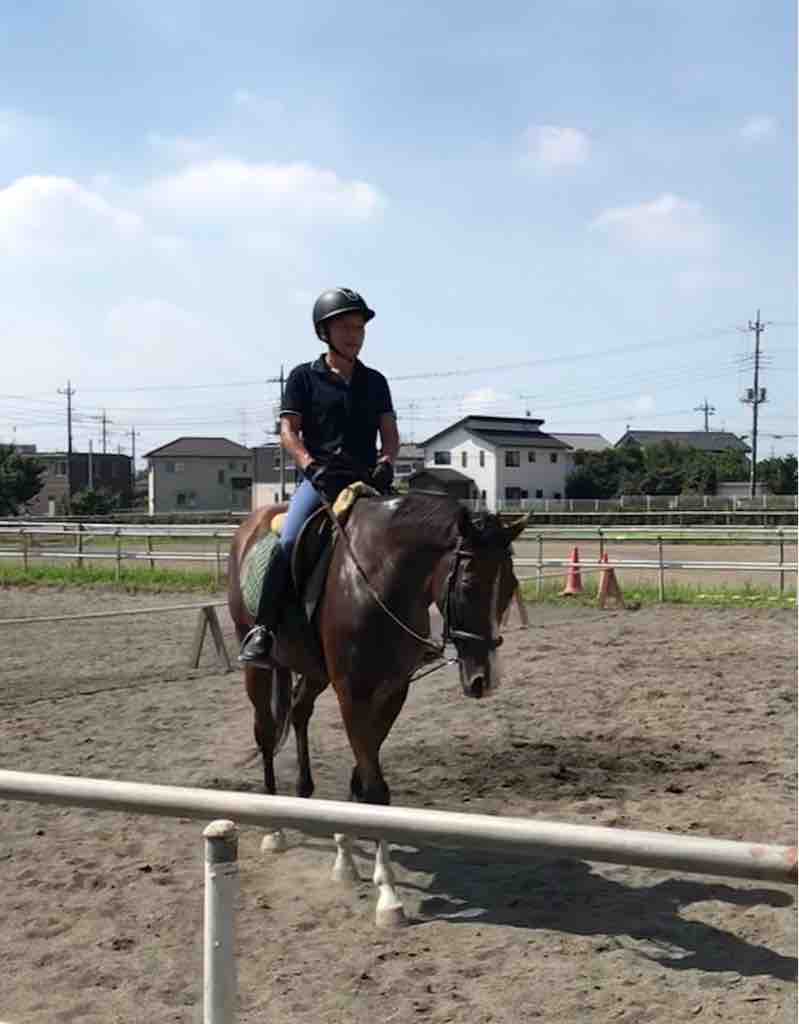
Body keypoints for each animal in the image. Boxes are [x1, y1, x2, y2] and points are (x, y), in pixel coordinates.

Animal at [227, 491, 528, 925]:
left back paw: (304, 795)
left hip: (313, 671)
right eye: (469, 584)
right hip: (259, 664)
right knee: (266, 733)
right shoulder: (353, 694)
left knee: (299, 712)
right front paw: (388, 894)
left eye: (510, 587)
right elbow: (375, 789)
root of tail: (251, 524)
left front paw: (346, 852)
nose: (484, 680)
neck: (379, 578)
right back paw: (275, 829)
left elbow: (363, 775)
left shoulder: (392, 692)